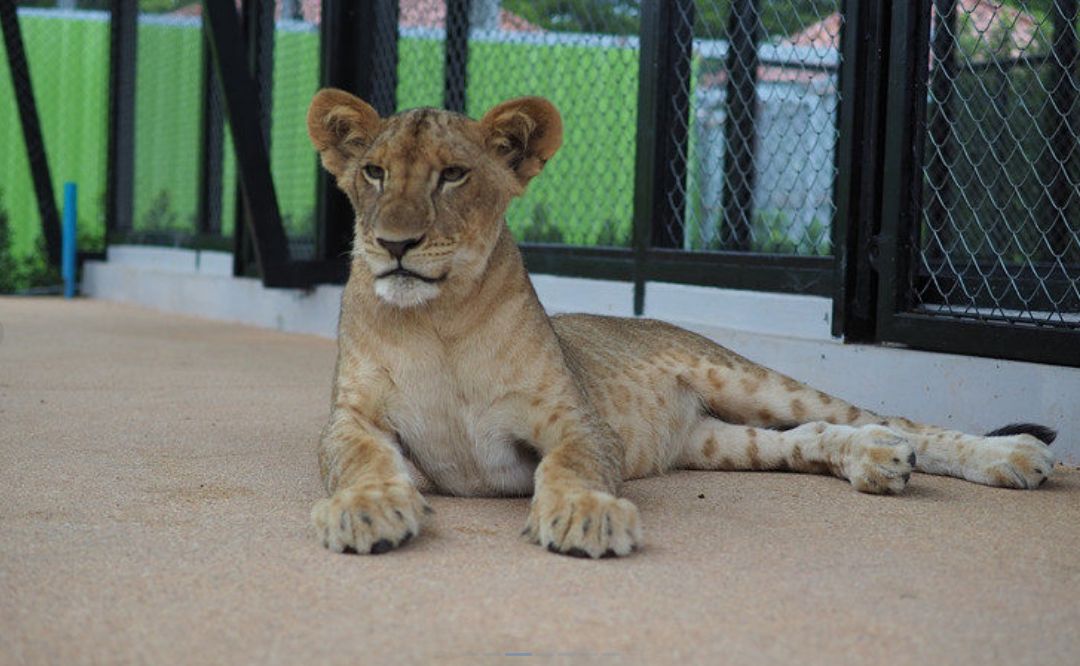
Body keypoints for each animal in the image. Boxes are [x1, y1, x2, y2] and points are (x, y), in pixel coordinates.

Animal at [305, 88, 1057, 558]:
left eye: (454, 175)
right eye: (373, 172)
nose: (394, 244)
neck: (438, 322)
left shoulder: (579, 423)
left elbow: (571, 467)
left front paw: (585, 515)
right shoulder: (351, 419)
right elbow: (362, 459)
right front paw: (367, 509)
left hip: (745, 378)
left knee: (893, 419)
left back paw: (1010, 457)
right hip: (717, 442)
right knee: (810, 437)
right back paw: (874, 458)